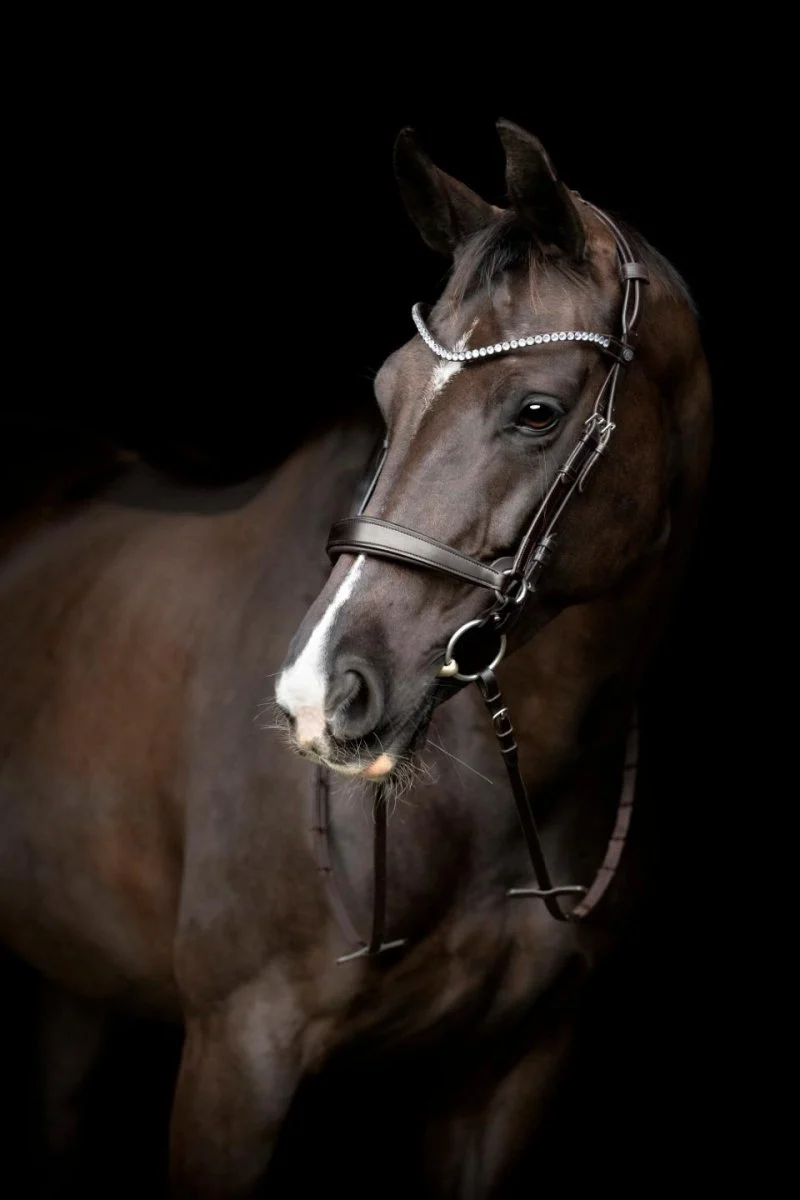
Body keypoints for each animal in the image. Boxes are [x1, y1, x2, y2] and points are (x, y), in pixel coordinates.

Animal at [0, 118, 712, 1197]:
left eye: (538, 411)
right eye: (387, 393)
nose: (313, 695)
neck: (489, 804)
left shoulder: (513, 1066)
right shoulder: (237, 1056)